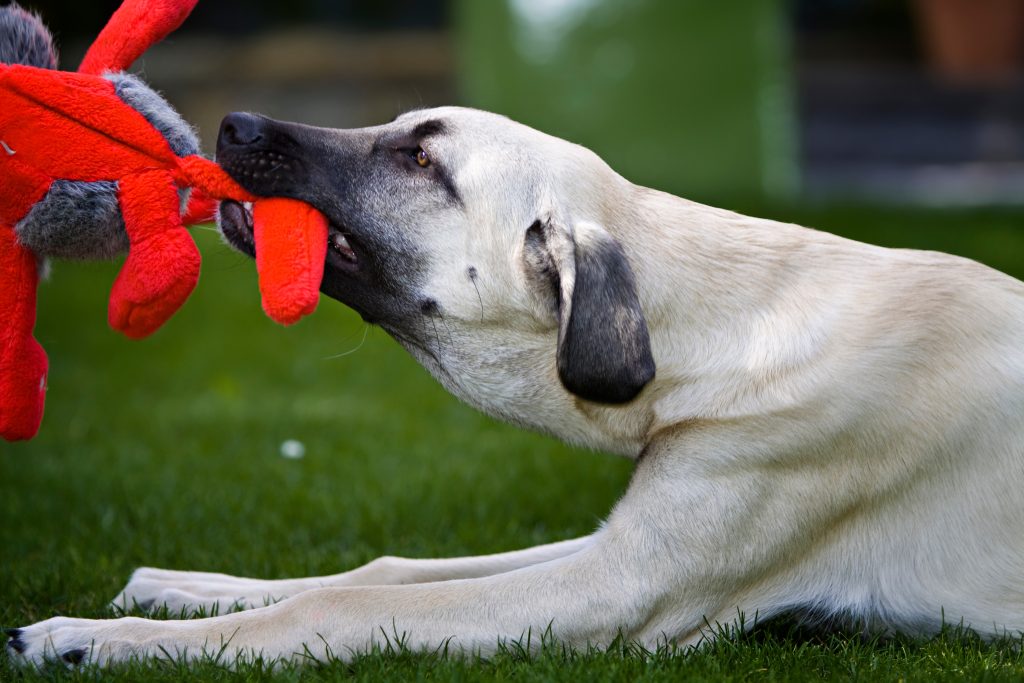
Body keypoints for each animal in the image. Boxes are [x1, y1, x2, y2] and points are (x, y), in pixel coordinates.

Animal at [8, 108, 1024, 667]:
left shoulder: (617, 590)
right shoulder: (615, 545)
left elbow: (343, 603)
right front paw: (183, 589)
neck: (721, 339)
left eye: (422, 161)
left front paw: (94, 641)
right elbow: (385, 570)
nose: (231, 127)